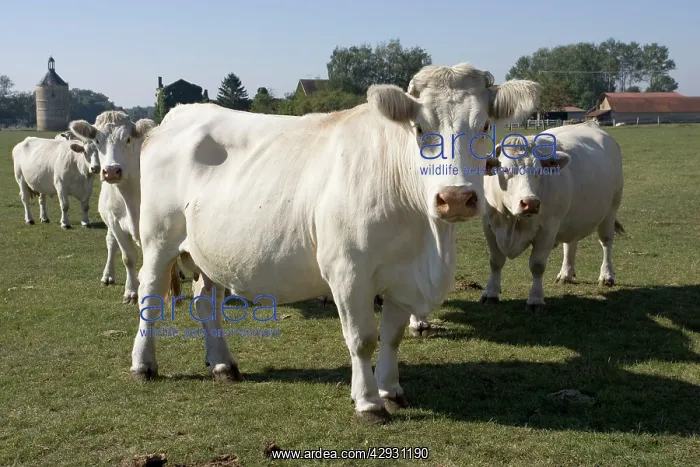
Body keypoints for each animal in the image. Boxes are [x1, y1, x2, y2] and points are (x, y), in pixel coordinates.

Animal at [127, 62, 539, 424]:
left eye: (484, 125)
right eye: (420, 128)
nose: (454, 198)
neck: (428, 243)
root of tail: (179, 114)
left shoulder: (401, 275)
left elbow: (392, 336)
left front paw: (391, 390)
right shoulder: (348, 271)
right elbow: (363, 339)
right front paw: (369, 402)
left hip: (208, 251)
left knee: (206, 301)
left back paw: (223, 364)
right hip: (158, 239)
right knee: (150, 295)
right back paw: (143, 364)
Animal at [478, 121, 624, 311]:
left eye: (539, 171)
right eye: (504, 169)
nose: (530, 203)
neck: (513, 221)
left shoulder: (547, 229)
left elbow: (537, 265)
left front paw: (535, 299)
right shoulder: (489, 226)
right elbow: (496, 261)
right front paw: (491, 293)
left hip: (610, 211)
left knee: (606, 242)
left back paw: (606, 276)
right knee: (570, 244)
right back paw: (566, 274)